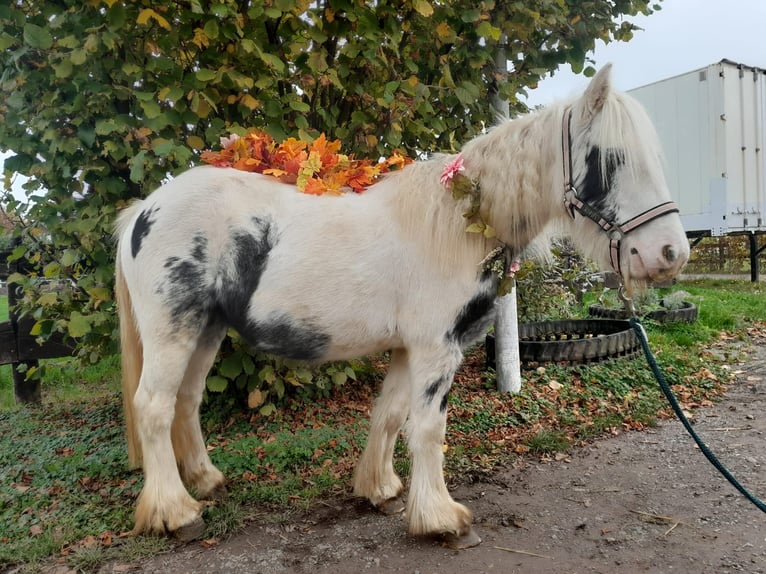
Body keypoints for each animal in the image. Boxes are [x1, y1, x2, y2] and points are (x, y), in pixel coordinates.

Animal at [117, 64, 692, 548]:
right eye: (610, 160)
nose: (670, 254)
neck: (457, 224)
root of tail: (143, 211)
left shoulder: (407, 348)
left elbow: (390, 415)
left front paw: (380, 489)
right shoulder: (437, 350)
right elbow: (428, 428)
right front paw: (439, 518)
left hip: (206, 331)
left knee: (186, 400)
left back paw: (204, 481)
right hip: (173, 331)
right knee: (154, 405)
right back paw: (174, 513)